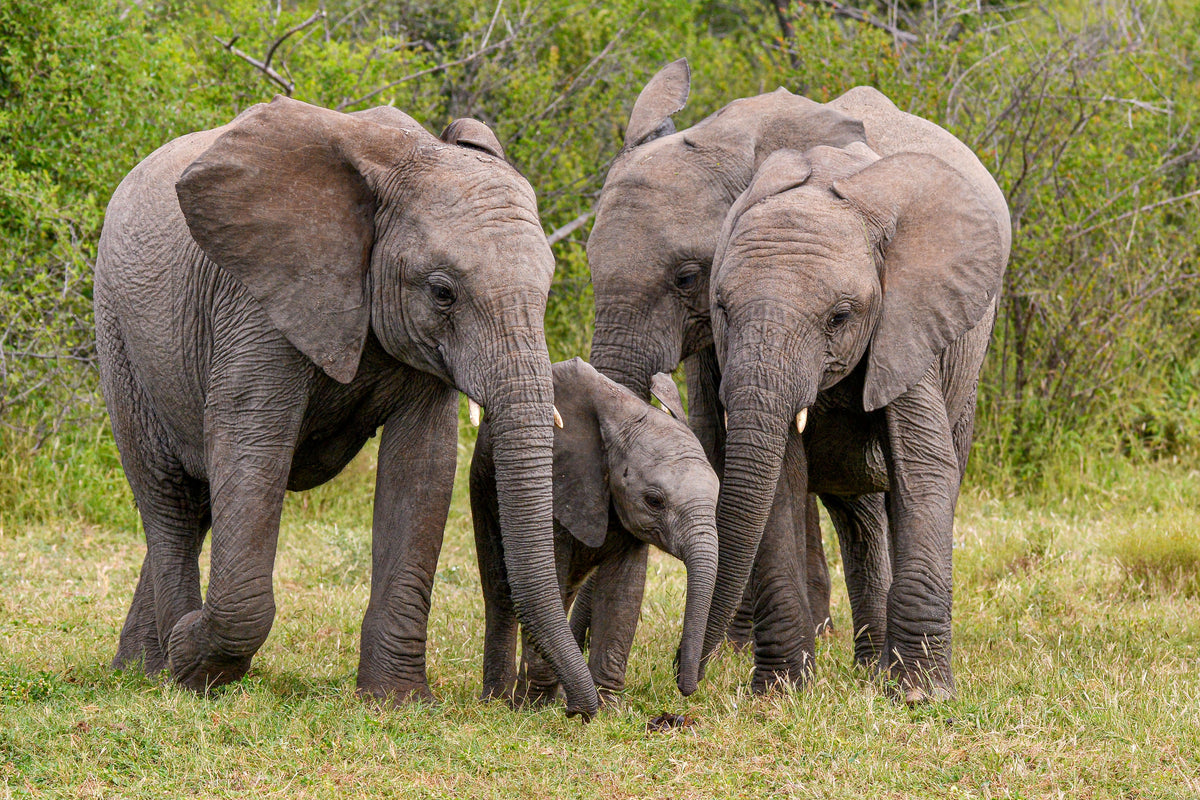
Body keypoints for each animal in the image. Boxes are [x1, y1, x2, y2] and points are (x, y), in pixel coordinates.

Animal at [94, 96, 600, 717]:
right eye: (442, 292)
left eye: (547, 289)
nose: (585, 710)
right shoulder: (260, 297)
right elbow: (252, 445)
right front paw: (194, 663)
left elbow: (422, 466)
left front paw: (397, 701)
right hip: (120, 335)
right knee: (170, 498)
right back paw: (167, 663)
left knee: (200, 503)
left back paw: (136, 669)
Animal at [470, 358, 718, 703]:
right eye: (654, 501)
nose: (686, 687)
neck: (626, 419)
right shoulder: (558, 487)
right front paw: (537, 707)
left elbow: (623, 591)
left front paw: (608, 706)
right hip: (482, 485)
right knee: (501, 592)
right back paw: (499, 701)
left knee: (563, 594)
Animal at [585, 58, 1010, 700]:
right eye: (718, 300)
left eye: (686, 277)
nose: (686, 679)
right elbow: (762, 467)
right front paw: (781, 688)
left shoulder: (910, 313)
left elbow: (922, 467)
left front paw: (918, 694)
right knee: (852, 508)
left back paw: (874, 666)